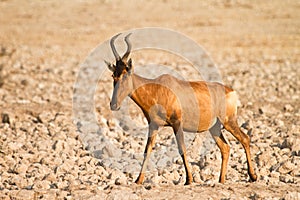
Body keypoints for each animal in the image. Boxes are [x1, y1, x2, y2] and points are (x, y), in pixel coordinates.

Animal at [104, 32, 256, 184]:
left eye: (125, 74)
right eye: (113, 75)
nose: (114, 105)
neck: (157, 89)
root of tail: (231, 90)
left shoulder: (177, 123)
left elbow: (181, 148)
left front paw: (189, 180)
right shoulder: (154, 125)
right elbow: (147, 150)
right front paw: (138, 180)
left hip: (229, 121)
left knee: (245, 139)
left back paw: (253, 176)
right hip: (215, 127)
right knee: (225, 148)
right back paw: (221, 180)